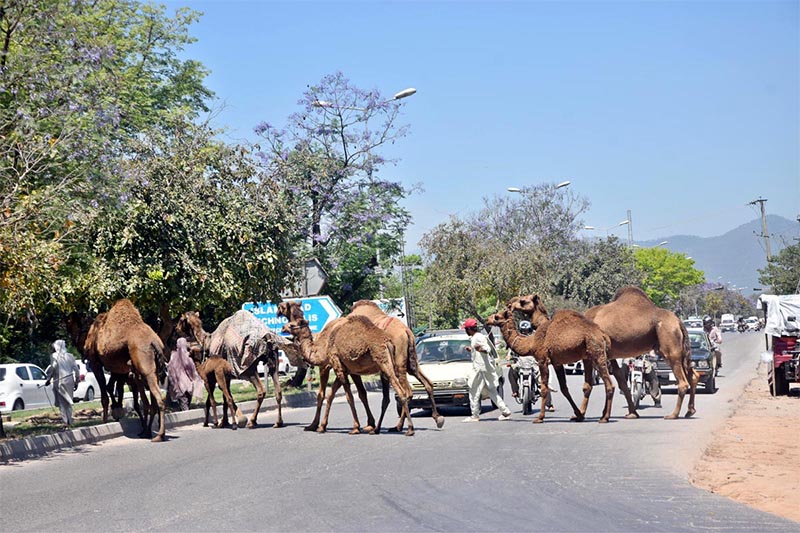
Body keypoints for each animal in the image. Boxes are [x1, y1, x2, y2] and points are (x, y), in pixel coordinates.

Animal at [67, 300, 169, 440]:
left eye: (69, 323)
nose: (71, 339)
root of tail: (154, 342)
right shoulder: (119, 369)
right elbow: (114, 388)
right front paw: (117, 410)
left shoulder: (95, 363)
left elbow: (105, 394)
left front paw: (106, 420)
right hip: (153, 369)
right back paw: (150, 431)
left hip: (145, 368)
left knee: (157, 398)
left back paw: (158, 435)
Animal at [284, 314, 416, 434]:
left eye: (292, 325)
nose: (283, 328)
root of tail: (388, 342)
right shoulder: (344, 369)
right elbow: (331, 395)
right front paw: (321, 426)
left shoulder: (337, 365)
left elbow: (349, 397)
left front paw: (355, 428)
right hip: (389, 365)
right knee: (397, 393)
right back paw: (384, 428)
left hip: (383, 360)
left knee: (401, 391)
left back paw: (407, 429)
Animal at [484, 304, 616, 424]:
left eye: (497, 316)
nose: (486, 320)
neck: (531, 343)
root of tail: (603, 335)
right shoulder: (557, 363)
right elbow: (564, 389)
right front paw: (578, 415)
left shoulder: (542, 360)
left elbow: (544, 388)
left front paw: (540, 418)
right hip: (588, 356)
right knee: (590, 385)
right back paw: (596, 415)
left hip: (597, 353)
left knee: (609, 384)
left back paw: (605, 418)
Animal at [516, 286, 696, 420]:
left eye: (523, 301)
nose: (512, 303)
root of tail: (678, 321)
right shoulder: (610, 357)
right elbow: (621, 382)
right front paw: (631, 413)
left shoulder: (589, 356)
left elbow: (588, 385)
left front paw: (580, 414)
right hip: (680, 349)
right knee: (693, 374)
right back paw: (690, 411)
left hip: (669, 345)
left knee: (683, 381)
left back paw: (673, 414)